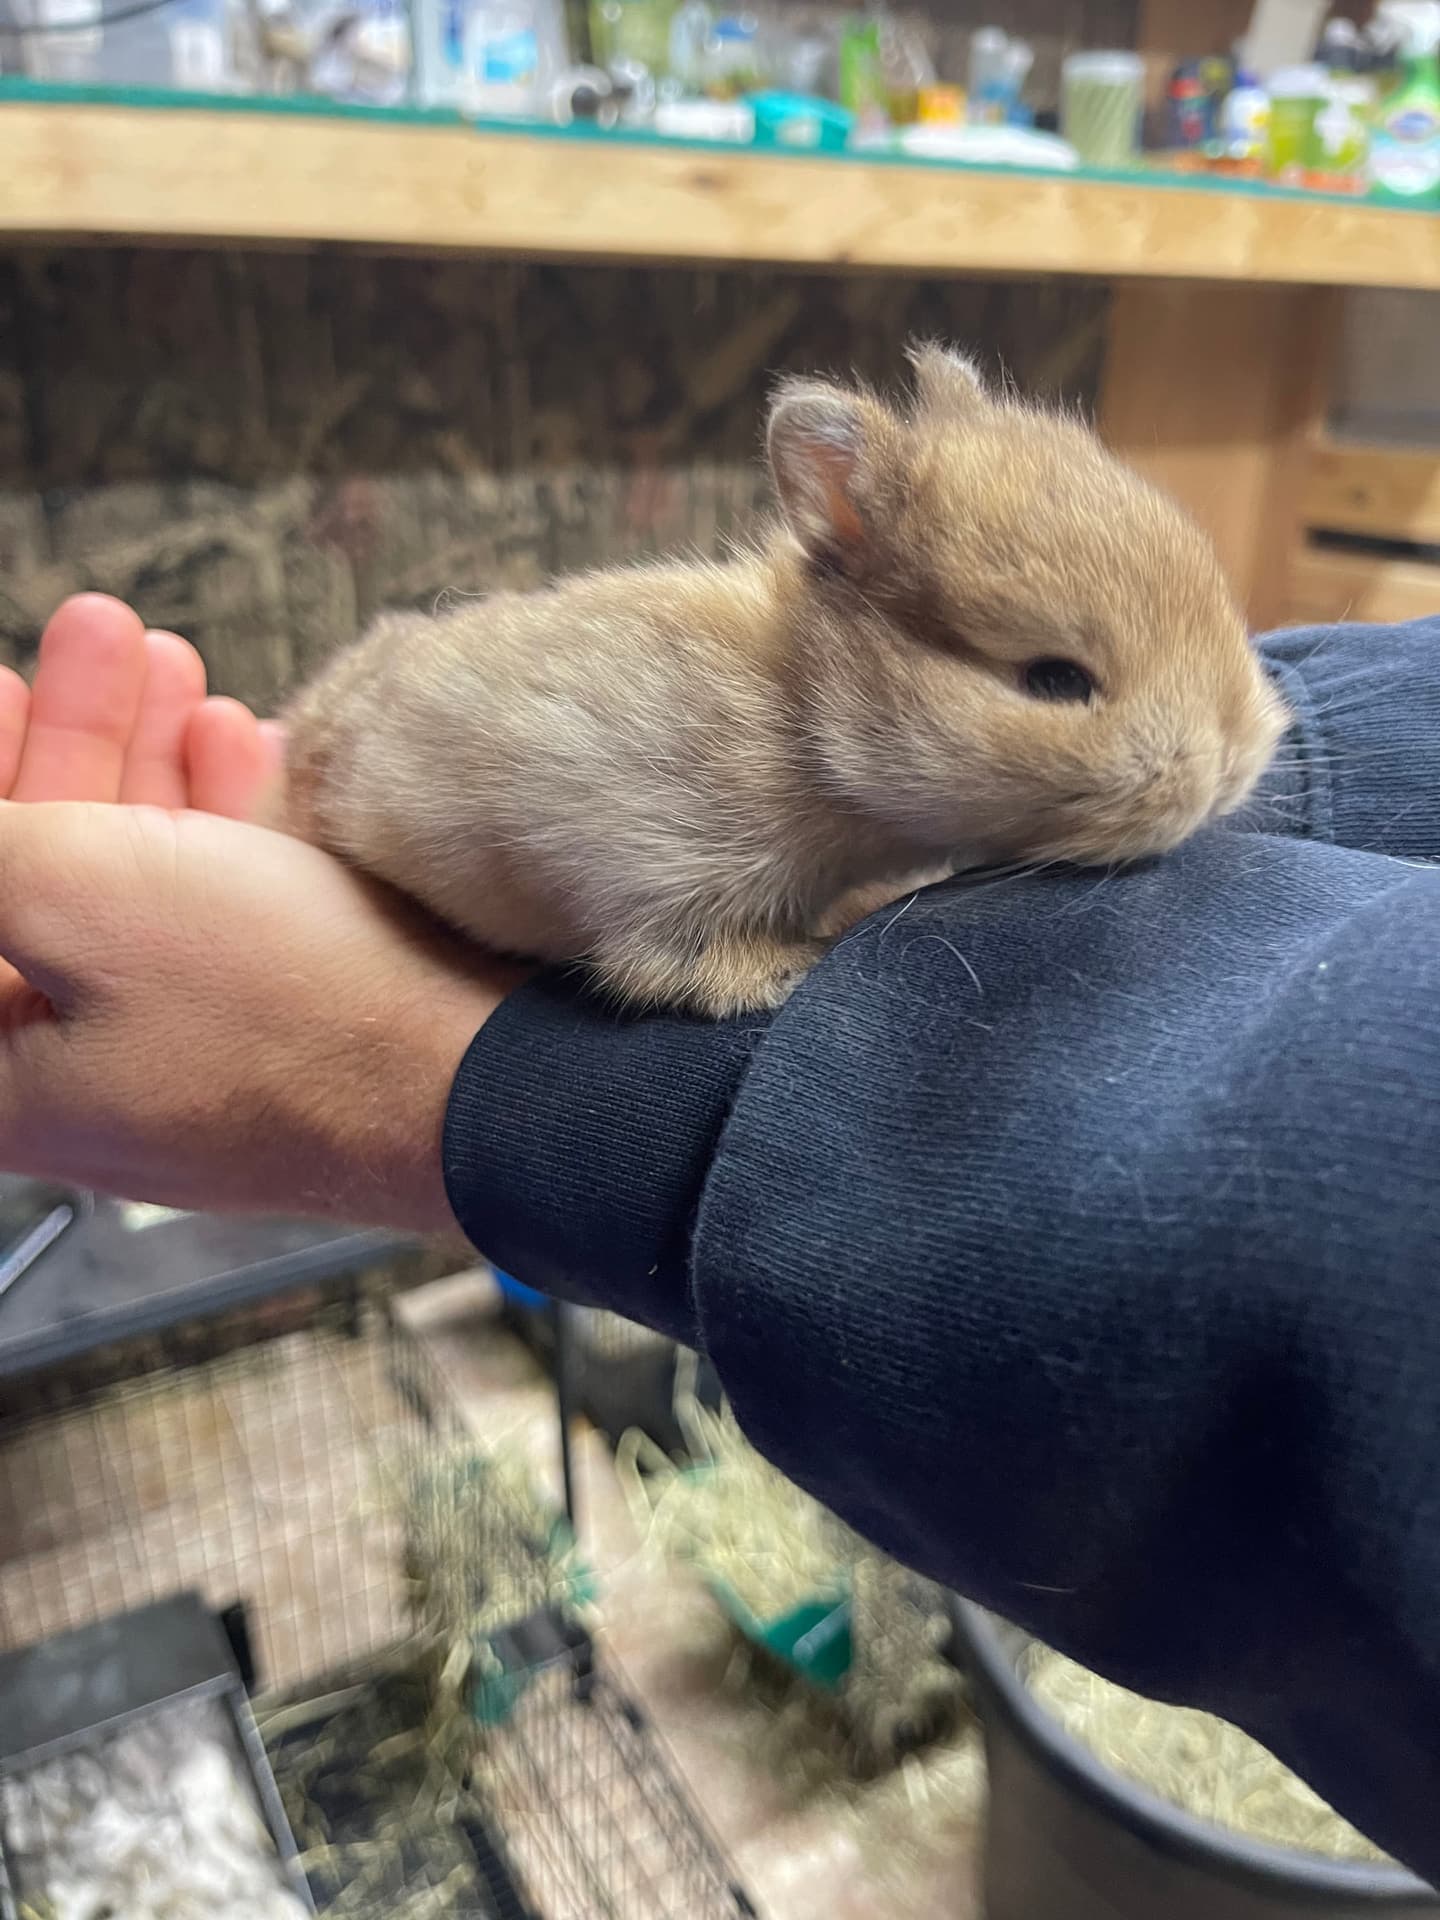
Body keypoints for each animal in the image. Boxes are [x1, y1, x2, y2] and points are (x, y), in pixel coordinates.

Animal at [271, 344, 1287, 1017]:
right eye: (1054, 679)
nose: (1230, 766)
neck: (802, 718)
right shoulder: (643, 871)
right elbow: (663, 961)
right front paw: (786, 969)